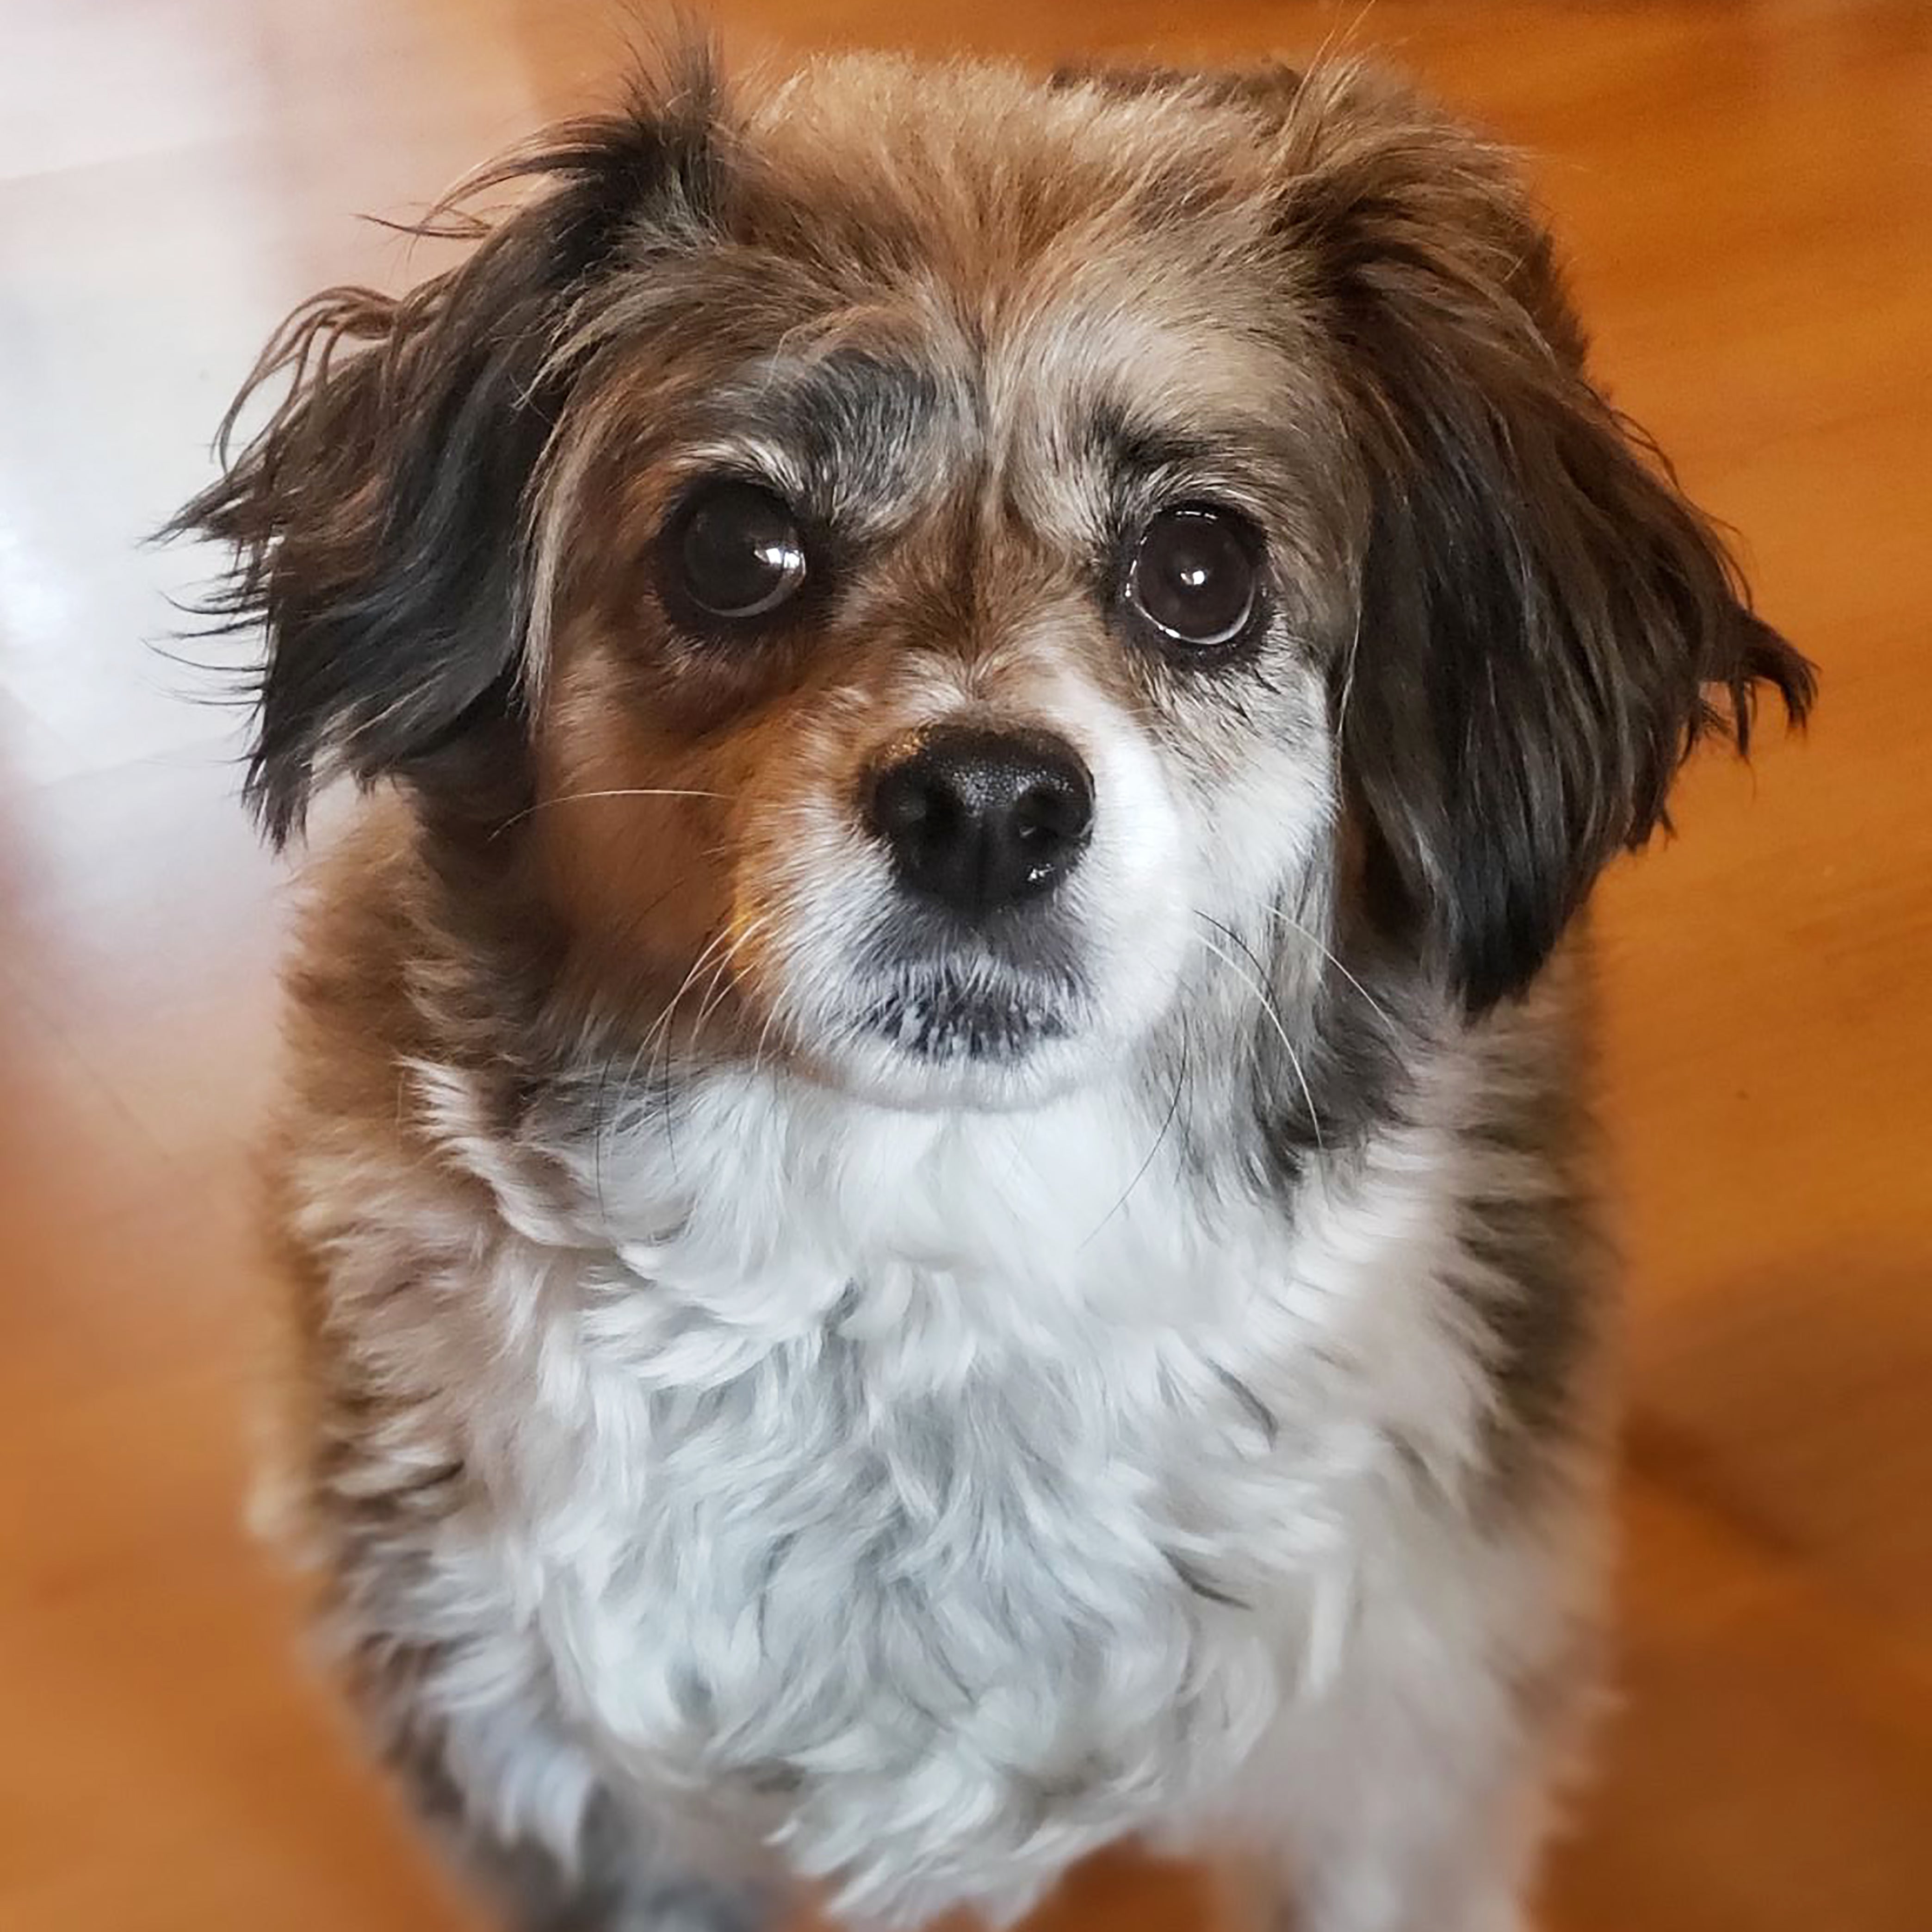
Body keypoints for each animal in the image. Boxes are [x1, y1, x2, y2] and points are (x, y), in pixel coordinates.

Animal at [172, 39, 1813, 1932]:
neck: (922, 1264)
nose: (983, 808)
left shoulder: (1397, 1762)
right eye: (733, 545)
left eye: (1199, 571)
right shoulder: (560, 1780)